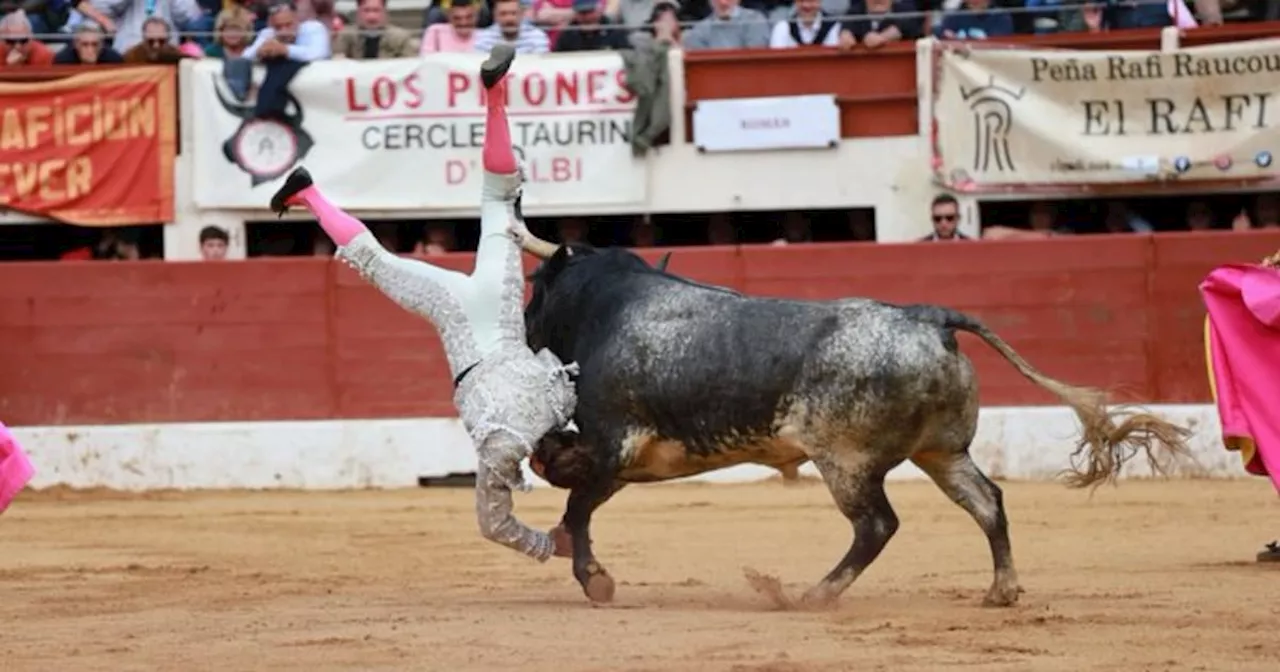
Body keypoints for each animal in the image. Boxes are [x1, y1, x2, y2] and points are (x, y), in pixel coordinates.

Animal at [509, 230, 1187, 606]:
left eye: (535, 289)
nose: (522, 330)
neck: (608, 308)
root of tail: (927, 317)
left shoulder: (613, 442)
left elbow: (578, 507)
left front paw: (596, 581)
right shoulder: (623, 459)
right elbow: (576, 501)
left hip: (848, 462)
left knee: (877, 526)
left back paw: (812, 595)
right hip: (942, 451)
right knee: (987, 502)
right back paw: (1001, 590)